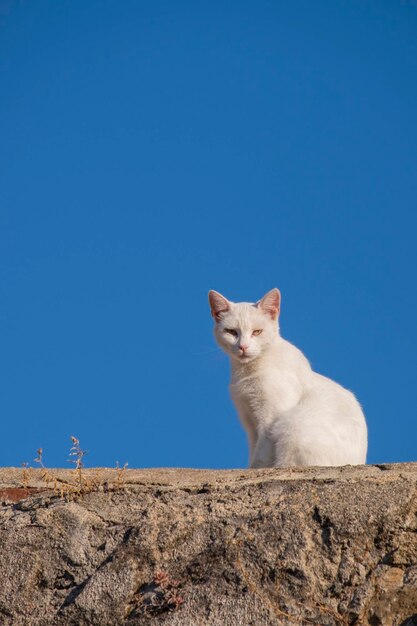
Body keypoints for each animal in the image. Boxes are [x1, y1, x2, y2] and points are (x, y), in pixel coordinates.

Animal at [206, 288, 366, 464]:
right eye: (231, 332)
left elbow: (260, 457)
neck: (247, 371)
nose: (243, 347)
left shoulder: (269, 421)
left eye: (257, 332)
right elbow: (254, 451)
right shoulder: (250, 423)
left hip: (293, 427)